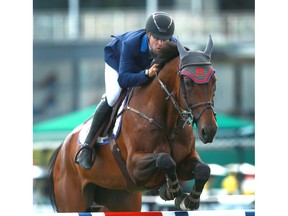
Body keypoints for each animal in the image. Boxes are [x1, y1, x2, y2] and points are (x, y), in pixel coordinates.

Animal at [47, 35, 218, 213]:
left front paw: (189, 200)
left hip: (120, 199)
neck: (169, 123)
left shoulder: (185, 161)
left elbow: (204, 169)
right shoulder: (134, 167)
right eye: (188, 82)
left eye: (214, 80)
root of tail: (61, 150)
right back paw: (85, 156)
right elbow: (165, 160)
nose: (209, 130)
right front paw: (171, 190)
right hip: (72, 201)